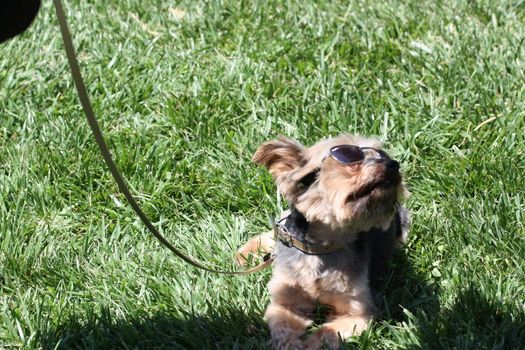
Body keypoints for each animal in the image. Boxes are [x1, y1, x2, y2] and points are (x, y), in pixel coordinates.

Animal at [237, 135, 410, 350]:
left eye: (382, 154)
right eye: (350, 157)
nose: (393, 164)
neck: (320, 247)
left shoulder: (357, 313)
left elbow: (326, 334)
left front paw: (310, 343)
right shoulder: (283, 303)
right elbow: (283, 327)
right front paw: (291, 344)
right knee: (276, 230)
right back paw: (245, 253)